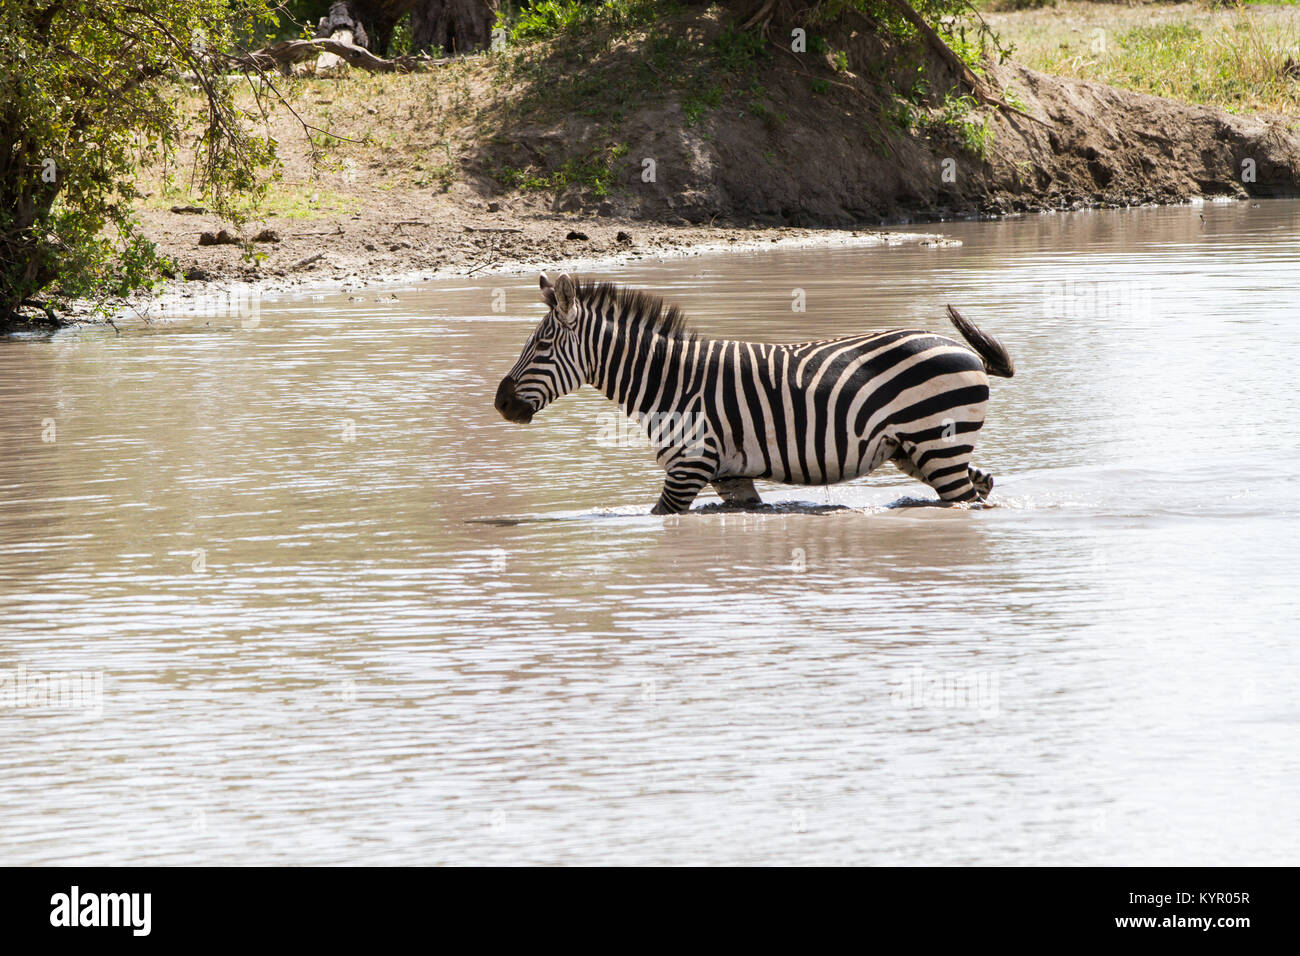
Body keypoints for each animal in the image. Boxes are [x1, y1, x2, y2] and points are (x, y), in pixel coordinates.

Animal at [494, 273, 1015, 515]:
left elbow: (657, 516)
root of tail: (961, 349)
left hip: (936, 443)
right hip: (917, 449)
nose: (501, 403)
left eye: (541, 346)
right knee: (980, 484)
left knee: (968, 497)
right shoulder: (730, 477)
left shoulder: (688, 467)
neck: (667, 382)